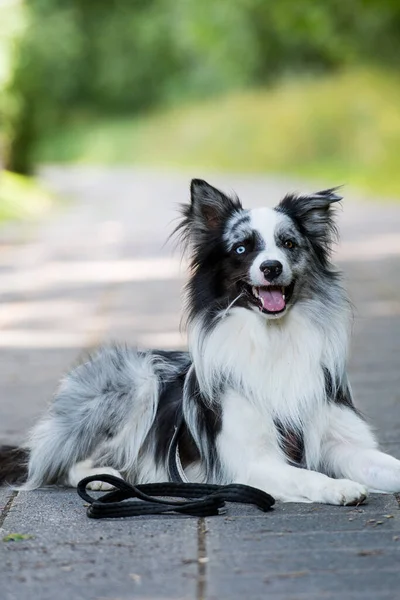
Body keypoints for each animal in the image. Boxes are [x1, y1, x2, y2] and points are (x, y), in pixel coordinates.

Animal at [2, 180, 400, 504]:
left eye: (288, 243)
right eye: (241, 249)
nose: (271, 267)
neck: (274, 338)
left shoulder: (343, 441)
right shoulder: (250, 463)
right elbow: (306, 475)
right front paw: (338, 486)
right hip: (135, 383)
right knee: (60, 461)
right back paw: (105, 478)